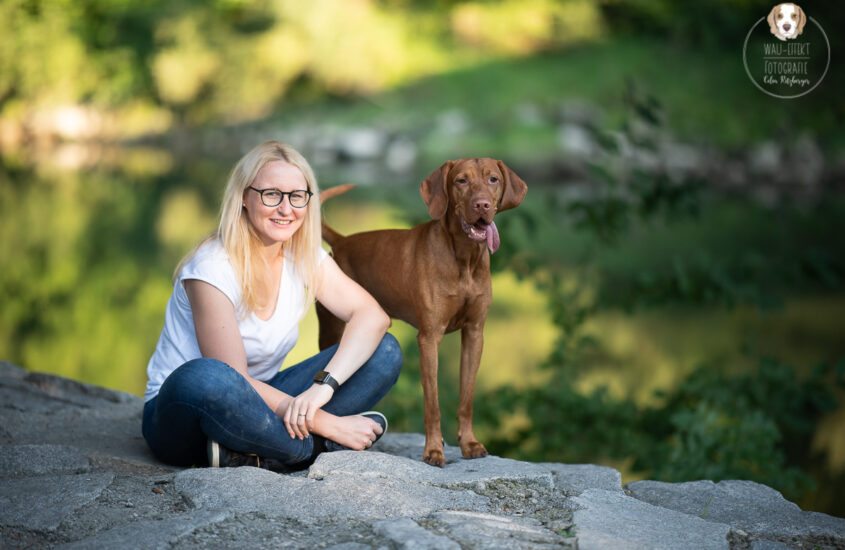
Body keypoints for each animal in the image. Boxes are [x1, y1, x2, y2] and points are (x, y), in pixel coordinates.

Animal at [316, 160, 528, 470]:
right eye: (461, 181)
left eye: (493, 179)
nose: (482, 205)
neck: (464, 257)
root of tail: (343, 242)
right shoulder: (429, 338)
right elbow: (433, 404)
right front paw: (434, 451)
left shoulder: (475, 333)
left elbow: (466, 399)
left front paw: (469, 444)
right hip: (332, 328)